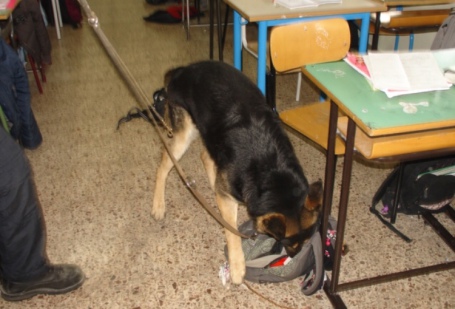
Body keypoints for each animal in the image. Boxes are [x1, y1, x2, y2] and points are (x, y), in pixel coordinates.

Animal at [153, 60, 324, 284]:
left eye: (305, 240)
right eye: (289, 242)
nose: (293, 255)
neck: (272, 173)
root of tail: (183, 70)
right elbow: (232, 232)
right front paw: (236, 265)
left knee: (205, 157)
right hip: (184, 135)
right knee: (165, 162)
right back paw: (158, 203)